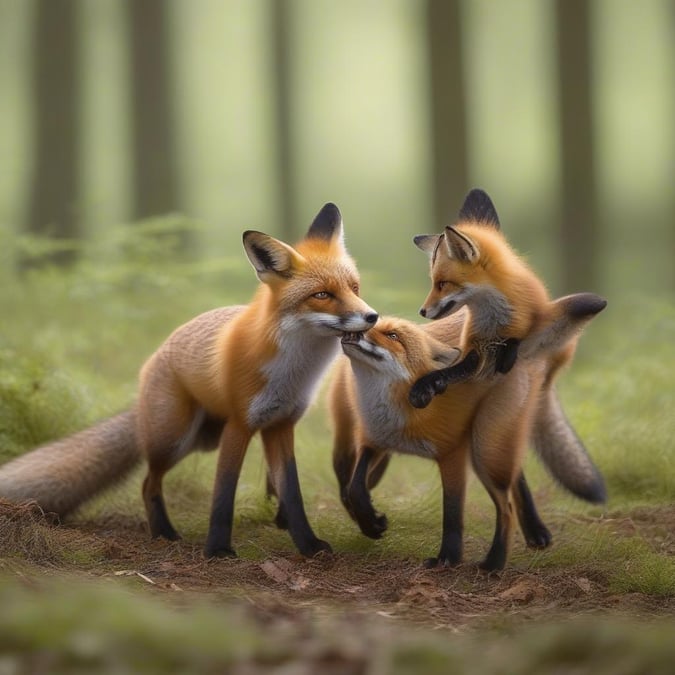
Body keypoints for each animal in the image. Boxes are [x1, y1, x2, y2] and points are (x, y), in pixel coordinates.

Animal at [0, 202, 378, 560]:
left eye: (354, 287)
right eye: (322, 295)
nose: (372, 316)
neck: (295, 370)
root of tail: (155, 358)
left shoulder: (280, 425)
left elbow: (293, 493)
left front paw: (308, 545)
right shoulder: (240, 425)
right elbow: (223, 494)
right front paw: (218, 550)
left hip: (202, 438)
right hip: (175, 438)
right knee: (148, 482)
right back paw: (163, 532)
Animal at [332, 290, 608, 572]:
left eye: (393, 336)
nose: (359, 326)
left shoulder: (452, 453)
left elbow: (452, 513)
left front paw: (448, 558)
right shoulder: (375, 440)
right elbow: (355, 487)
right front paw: (371, 523)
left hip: (485, 447)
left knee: (506, 505)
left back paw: (495, 562)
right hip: (487, 443)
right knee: (515, 478)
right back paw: (532, 532)